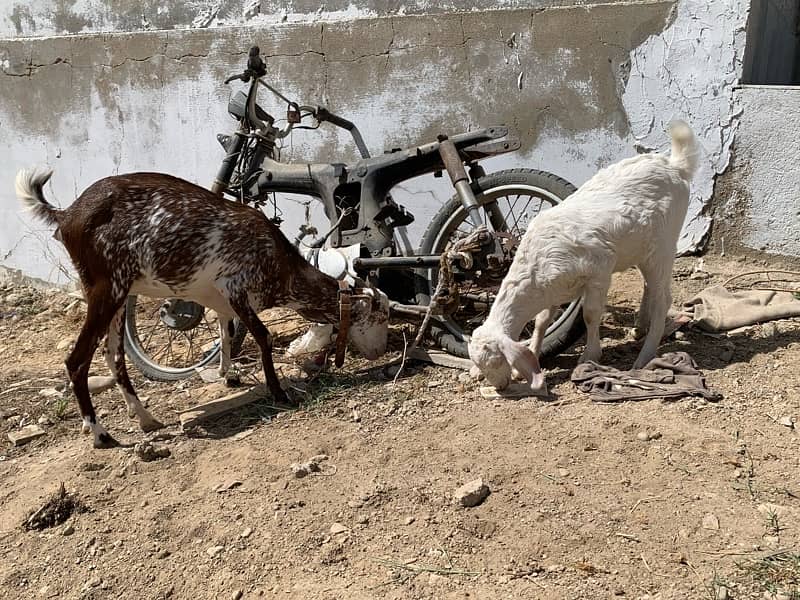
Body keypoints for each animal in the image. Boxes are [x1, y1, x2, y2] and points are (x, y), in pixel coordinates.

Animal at [17, 169, 390, 446]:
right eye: (380, 314)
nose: (379, 352)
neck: (282, 267)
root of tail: (67, 214)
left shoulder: (219, 297)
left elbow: (225, 331)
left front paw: (228, 374)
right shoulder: (235, 284)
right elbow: (262, 335)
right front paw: (278, 391)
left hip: (118, 294)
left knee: (114, 357)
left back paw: (147, 419)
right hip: (106, 288)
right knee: (77, 360)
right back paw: (100, 434)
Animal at [468, 122, 700, 394]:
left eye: (495, 361)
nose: (500, 387)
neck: (535, 268)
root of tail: (674, 165)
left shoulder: (599, 269)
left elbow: (590, 314)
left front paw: (590, 355)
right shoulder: (553, 287)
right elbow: (541, 321)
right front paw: (533, 353)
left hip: (663, 244)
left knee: (663, 298)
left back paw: (644, 356)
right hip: (643, 251)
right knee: (650, 286)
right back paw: (640, 326)